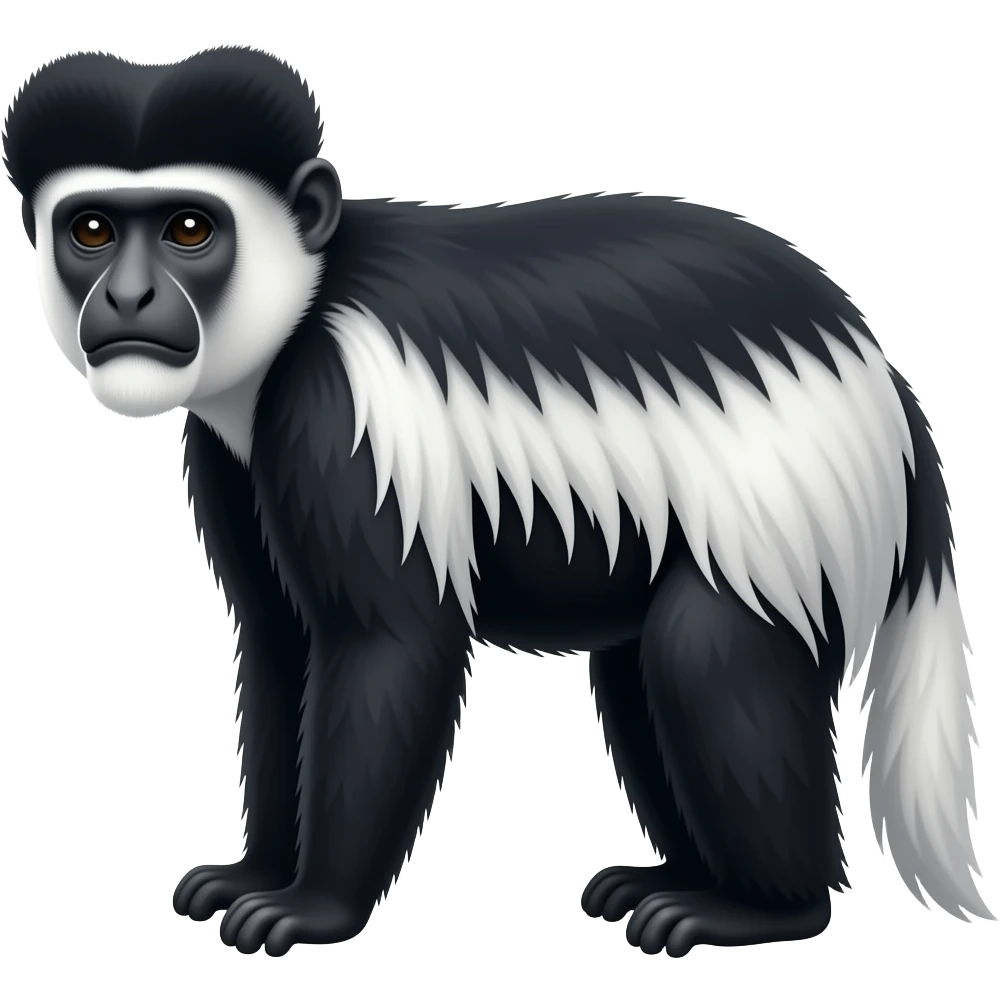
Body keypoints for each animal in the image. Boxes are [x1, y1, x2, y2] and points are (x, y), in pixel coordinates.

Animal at [2, 45, 992, 959]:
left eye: (189, 230)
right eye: (91, 230)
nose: (129, 297)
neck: (298, 312)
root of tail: (883, 383)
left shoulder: (341, 413)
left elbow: (388, 644)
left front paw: (312, 909)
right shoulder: (231, 451)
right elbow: (279, 640)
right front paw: (252, 875)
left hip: (778, 514)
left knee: (710, 657)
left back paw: (758, 909)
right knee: (639, 668)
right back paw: (671, 882)